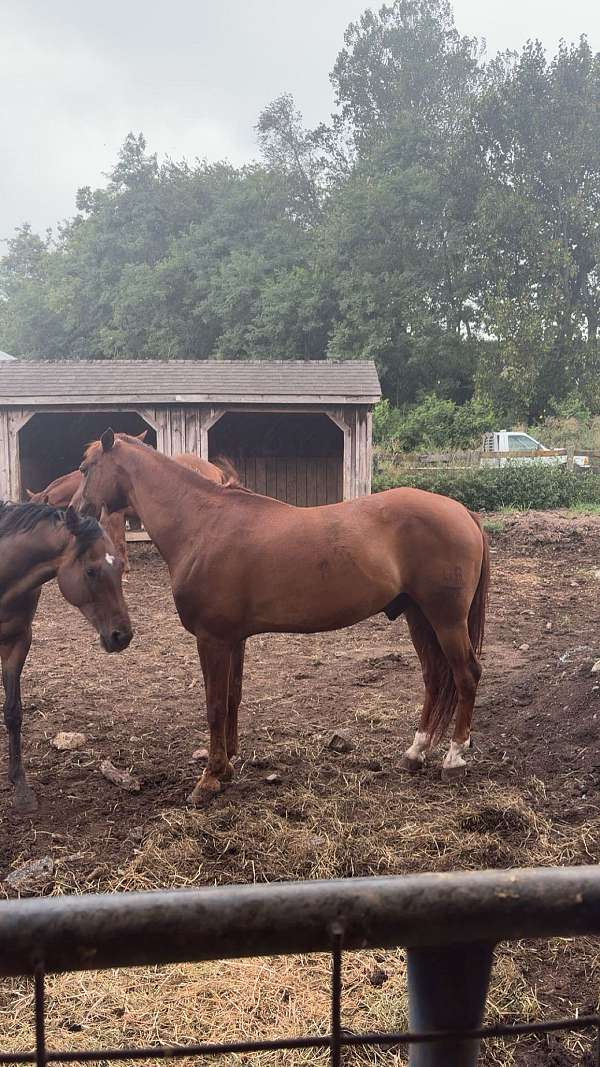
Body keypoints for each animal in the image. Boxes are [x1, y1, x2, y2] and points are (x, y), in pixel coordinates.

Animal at [0, 501, 133, 813]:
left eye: (120, 566)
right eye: (91, 571)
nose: (122, 636)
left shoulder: (17, 642)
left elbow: (13, 712)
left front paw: (21, 788)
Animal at [76, 430, 489, 806]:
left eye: (85, 468)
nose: (76, 514)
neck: (201, 525)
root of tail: (462, 511)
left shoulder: (212, 639)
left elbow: (214, 706)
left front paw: (209, 778)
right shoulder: (234, 639)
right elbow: (232, 699)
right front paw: (227, 766)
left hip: (446, 620)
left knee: (466, 675)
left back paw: (453, 759)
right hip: (418, 617)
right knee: (435, 678)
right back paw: (415, 753)